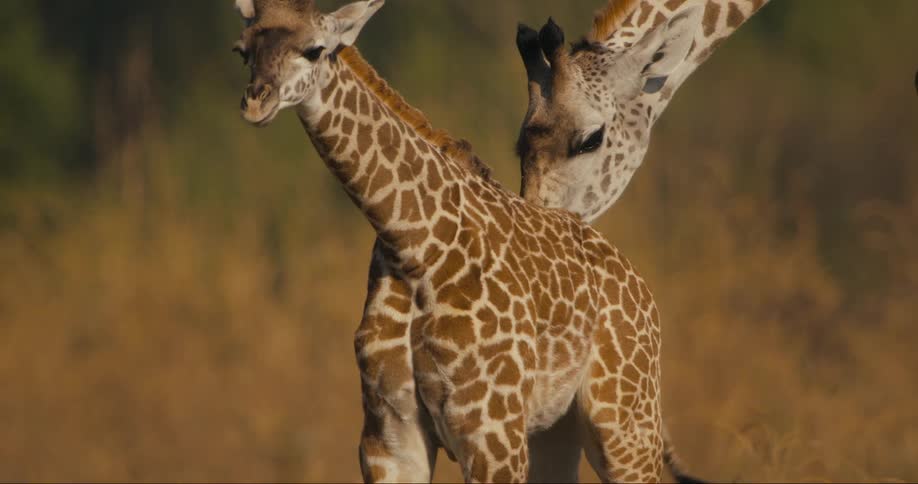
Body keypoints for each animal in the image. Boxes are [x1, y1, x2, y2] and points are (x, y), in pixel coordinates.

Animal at [233, 0, 671, 481]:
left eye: (315, 49)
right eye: (242, 50)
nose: (256, 102)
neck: (414, 245)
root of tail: (642, 290)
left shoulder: (492, 435)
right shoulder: (389, 436)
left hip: (626, 424)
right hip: (555, 431)